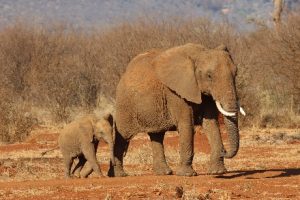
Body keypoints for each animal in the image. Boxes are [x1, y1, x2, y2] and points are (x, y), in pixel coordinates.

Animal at [109, 42, 245, 177]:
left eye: (236, 74)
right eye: (209, 76)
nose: (224, 151)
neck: (199, 53)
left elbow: (211, 124)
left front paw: (218, 171)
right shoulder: (175, 93)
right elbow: (186, 125)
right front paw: (187, 174)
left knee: (157, 135)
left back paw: (164, 173)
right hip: (124, 104)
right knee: (123, 137)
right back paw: (118, 175)